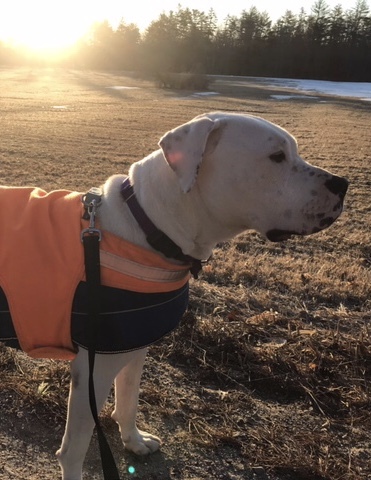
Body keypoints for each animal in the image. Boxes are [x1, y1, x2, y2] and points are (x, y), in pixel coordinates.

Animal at [0, 112, 348, 480]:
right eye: (277, 157)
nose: (342, 184)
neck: (151, 228)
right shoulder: (94, 366)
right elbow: (74, 449)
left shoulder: (133, 348)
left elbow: (129, 400)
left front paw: (134, 441)